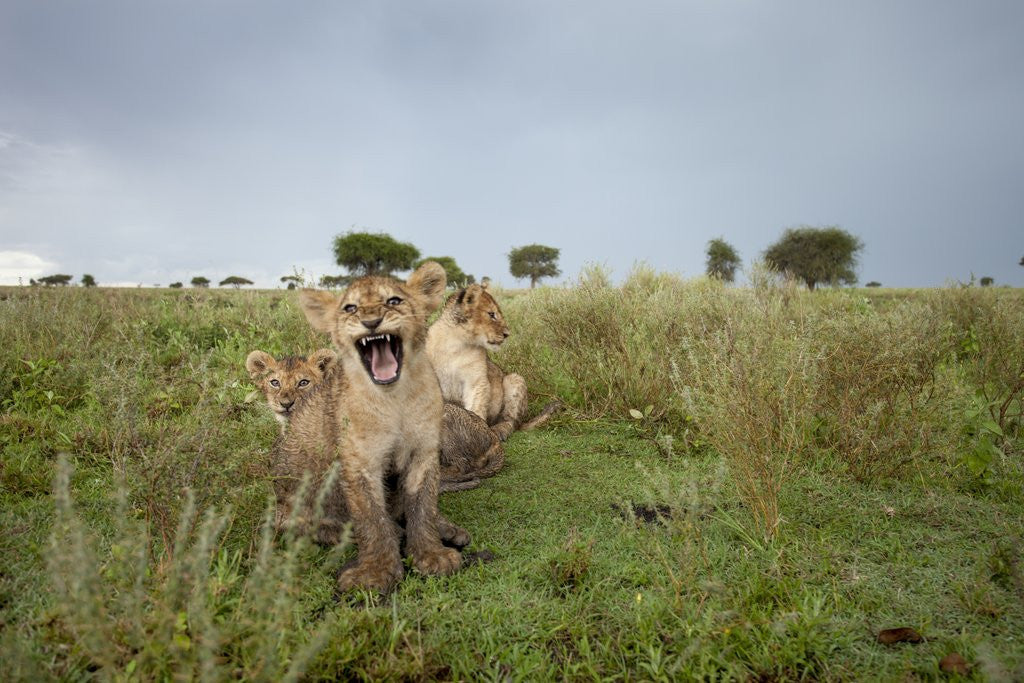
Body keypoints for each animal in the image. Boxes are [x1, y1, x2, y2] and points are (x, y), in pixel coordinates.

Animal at [273, 262, 465, 593]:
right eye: (350, 308)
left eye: (394, 301)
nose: (371, 321)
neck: (395, 397)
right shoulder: (359, 461)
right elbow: (371, 518)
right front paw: (377, 571)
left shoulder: (423, 452)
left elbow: (423, 505)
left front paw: (432, 554)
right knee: (303, 526)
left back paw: (449, 531)